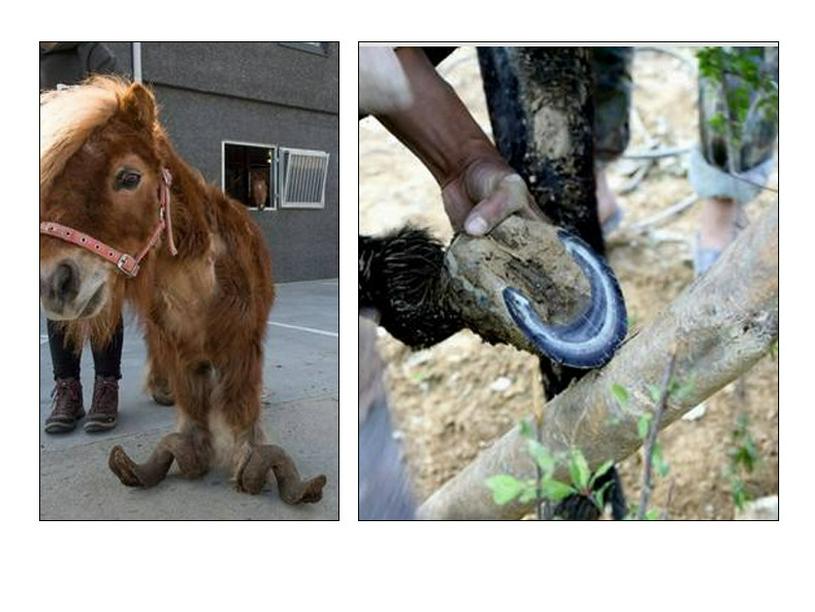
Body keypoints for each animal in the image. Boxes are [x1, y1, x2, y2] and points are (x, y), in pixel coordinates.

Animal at [39, 76, 326, 506]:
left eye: (129, 177)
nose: (56, 284)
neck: (200, 291)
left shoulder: (242, 349)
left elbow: (242, 413)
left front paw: (251, 460)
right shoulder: (181, 351)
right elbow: (191, 420)